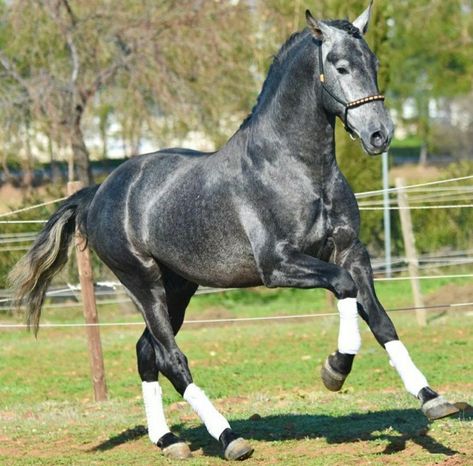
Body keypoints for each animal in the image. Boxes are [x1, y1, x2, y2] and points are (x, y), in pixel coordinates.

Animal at [10, 4, 458, 462]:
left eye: (375, 63)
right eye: (340, 66)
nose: (380, 134)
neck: (297, 168)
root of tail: (99, 191)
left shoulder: (352, 252)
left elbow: (382, 320)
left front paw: (431, 399)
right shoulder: (279, 265)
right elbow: (343, 288)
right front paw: (334, 370)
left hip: (178, 287)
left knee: (146, 352)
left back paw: (168, 440)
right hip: (143, 282)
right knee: (171, 358)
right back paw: (228, 438)